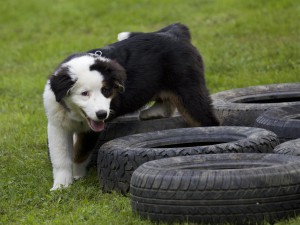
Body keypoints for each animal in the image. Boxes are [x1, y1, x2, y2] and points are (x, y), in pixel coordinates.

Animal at [43, 23, 219, 191]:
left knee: (207, 121)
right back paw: (153, 112)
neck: (74, 112)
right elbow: (60, 157)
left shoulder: (90, 129)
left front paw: (77, 176)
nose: (102, 114)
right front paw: (61, 186)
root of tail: (174, 33)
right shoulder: (57, 125)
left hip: (188, 90)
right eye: (84, 93)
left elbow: (80, 151)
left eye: (106, 91)